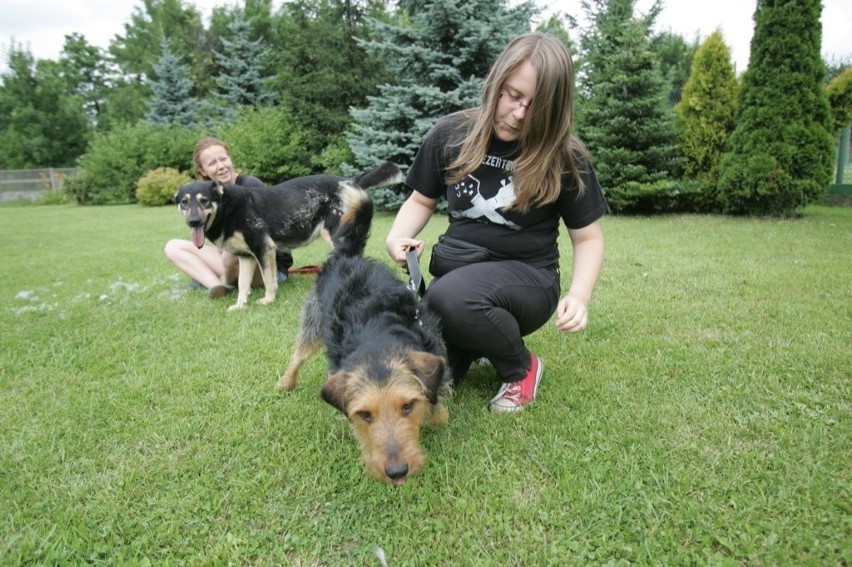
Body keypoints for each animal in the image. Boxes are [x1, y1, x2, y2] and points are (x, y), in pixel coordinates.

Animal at [173, 162, 402, 310]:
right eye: (184, 202)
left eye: (204, 201)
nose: (193, 222)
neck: (226, 208)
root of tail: (351, 180)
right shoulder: (247, 257)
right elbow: (242, 285)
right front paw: (240, 305)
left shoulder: (264, 249)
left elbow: (269, 280)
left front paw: (268, 301)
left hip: (339, 238)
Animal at [278, 190, 452, 484]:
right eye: (365, 415)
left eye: (408, 406)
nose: (397, 472)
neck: (377, 334)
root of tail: (346, 256)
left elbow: (439, 414)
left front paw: (433, 415)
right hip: (315, 320)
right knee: (298, 354)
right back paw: (285, 382)